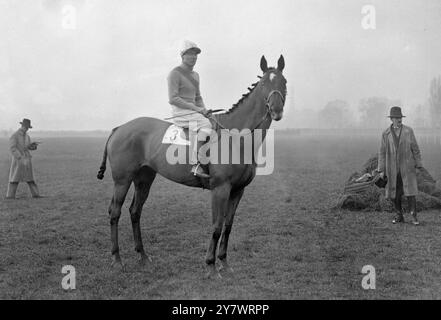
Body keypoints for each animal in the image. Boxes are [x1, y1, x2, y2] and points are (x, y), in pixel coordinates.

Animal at [97, 55, 286, 278]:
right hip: (122, 180)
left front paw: (224, 263)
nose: (276, 111)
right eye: (264, 83)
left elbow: (228, 226)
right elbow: (216, 226)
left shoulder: (238, 190)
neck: (236, 137)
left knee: (135, 211)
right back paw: (117, 260)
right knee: (115, 212)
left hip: (144, 179)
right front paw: (211, 266)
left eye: (283, 82)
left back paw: (143, 257)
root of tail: (120, 128)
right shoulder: (220, 189)